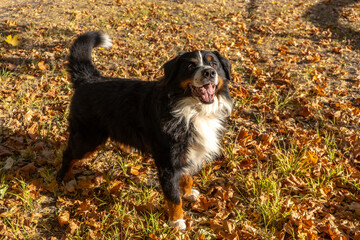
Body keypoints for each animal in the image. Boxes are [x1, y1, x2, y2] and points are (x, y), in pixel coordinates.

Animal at [57, 31, 232, 230]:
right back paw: (66, 179)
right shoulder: (167, 163)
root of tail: (88, 79)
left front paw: (187, 193)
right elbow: (173, 198)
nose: (209, 72)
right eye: (190, 66)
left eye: (214, 64)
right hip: (88, 138)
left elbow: (187, 177)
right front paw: (177, 221)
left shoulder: (186, 152)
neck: (191, 110)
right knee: (68, 155)